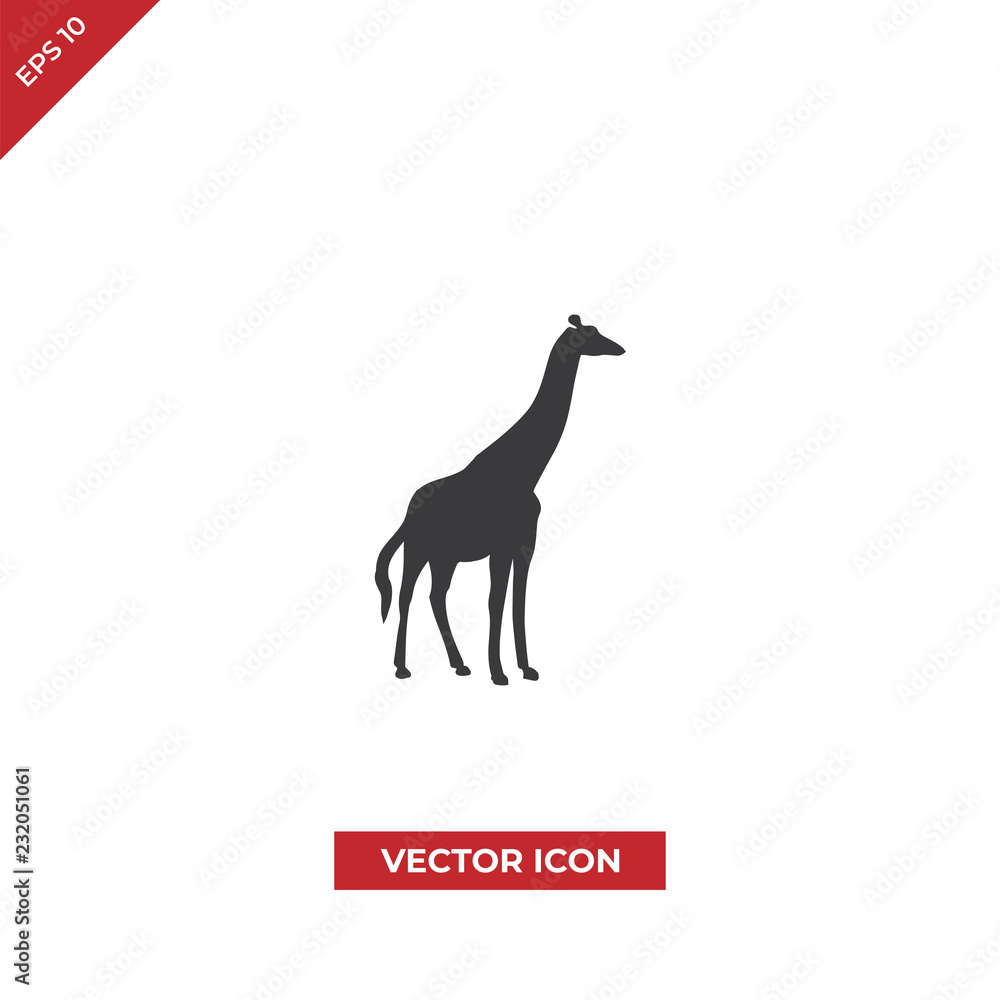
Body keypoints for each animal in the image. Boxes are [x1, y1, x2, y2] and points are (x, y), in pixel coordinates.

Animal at [375, 315, 625, 685]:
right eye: (590, 335)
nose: (619, 348)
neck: (523, 471)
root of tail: (408, 512)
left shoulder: (523, 543)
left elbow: (516, 601)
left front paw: (525, 668)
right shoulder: (502, 545)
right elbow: (496, 601)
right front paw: (498, 672)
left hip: (444, 556)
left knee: (436, 595)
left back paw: (460, 664)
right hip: (418, 549)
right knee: (406, 596)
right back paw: (403, 668)